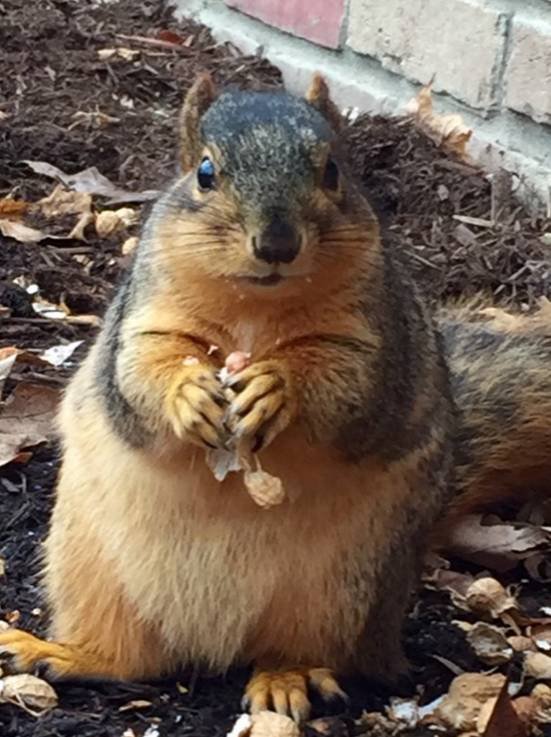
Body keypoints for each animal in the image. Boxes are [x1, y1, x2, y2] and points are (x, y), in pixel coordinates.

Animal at [1, 73, 551, 720]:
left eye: (333, 171)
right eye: (205, 172)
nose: (278, 242)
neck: (254, 310)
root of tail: (211, 645)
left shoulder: (374, 340)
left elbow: (350, 385)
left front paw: (277, 386)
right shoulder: (142, 321)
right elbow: (140, 373)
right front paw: (188, 391)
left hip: (340, 589)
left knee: (296, 649)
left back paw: (289, 679)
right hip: (92, 569)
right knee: (132, 657)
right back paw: (62, 654)